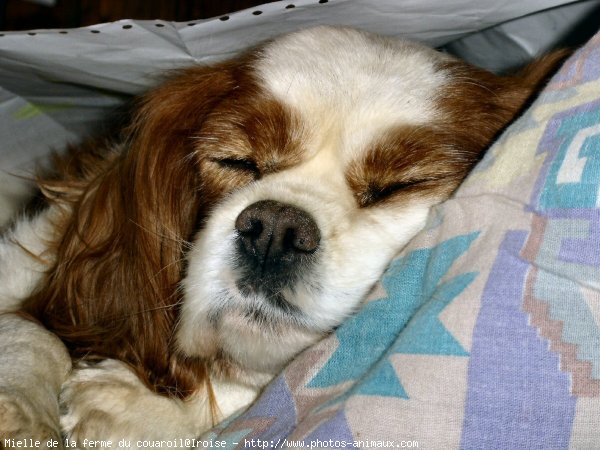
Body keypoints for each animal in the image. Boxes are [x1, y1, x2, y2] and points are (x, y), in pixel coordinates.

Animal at [0, 28, 564, 446]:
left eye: (401, 186)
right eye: (237, 161)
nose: (274, 228)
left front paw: (137, 409)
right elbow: (31, 331)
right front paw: (24, 406)